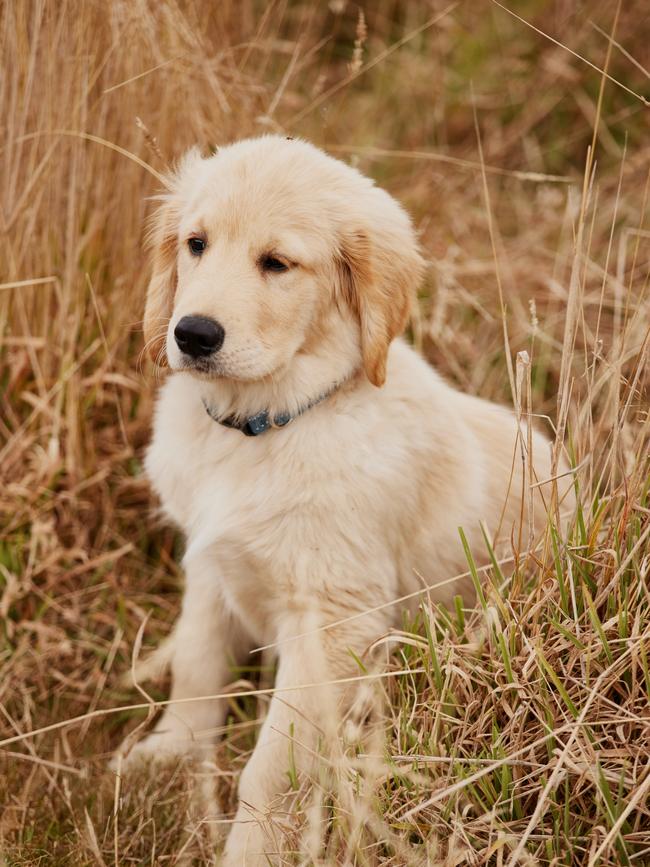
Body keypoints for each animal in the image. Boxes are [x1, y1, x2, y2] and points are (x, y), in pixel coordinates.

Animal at [121, 137, 572, 867]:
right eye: (195, 244)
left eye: (277, 263)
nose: (191, 334)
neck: (268, 422)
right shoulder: (212, 566)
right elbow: (197, 665)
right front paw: (171, 749)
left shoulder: (332, 624)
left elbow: (271, 770)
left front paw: (251, 850)